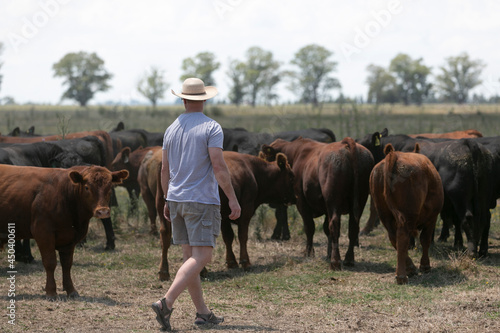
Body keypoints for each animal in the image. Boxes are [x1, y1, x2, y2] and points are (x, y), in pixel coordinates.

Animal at [0, 165, 129, 296]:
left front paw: (71, 290)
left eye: (110, 187)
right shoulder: (43, 232)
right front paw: (51, 291)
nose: (102, 211)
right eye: (87, 187)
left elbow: (67, 264)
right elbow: (50, 262)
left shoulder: (70, 238)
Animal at [260, 136, 374, 268]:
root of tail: (345, 143)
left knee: (335, 224)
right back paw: (348, 259)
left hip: (333, 199)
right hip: (360, 199)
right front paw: (328, 253)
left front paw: (309, 253)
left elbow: (309, 228)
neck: (295, 153)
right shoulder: (326, 208)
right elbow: (325, 229)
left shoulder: (302, 203)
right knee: (353, 227)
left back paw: (335, 262)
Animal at [370, 143, 444, 282]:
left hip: (384, 214)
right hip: (408, 214)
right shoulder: (432, 217)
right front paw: (425, 265)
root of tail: (394, 155)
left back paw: (410, 268)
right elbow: (425, 239)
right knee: (402, 237)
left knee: (394, 237)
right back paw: (402, 276)